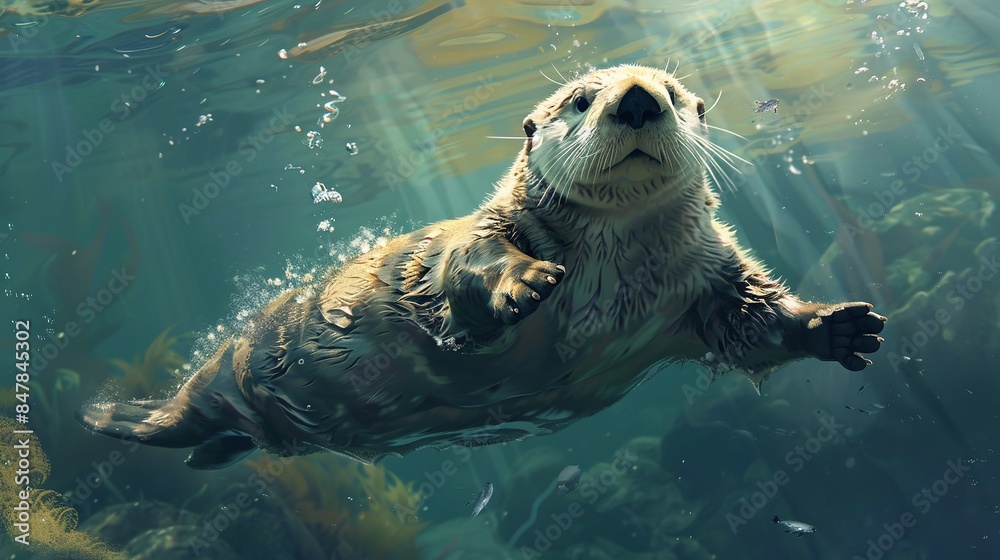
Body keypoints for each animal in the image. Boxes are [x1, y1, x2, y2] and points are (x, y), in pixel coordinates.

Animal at [79, 65, 885, 469]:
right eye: (579, 100)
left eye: (678, 96)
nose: (635, 99)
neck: (618, 279)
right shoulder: (482, 233)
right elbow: (467, 264)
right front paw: (525, 283)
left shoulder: (707, 275)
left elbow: (754, 322)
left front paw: (841, 328)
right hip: (231, 372)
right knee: (184, 411)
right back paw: (109, 416)